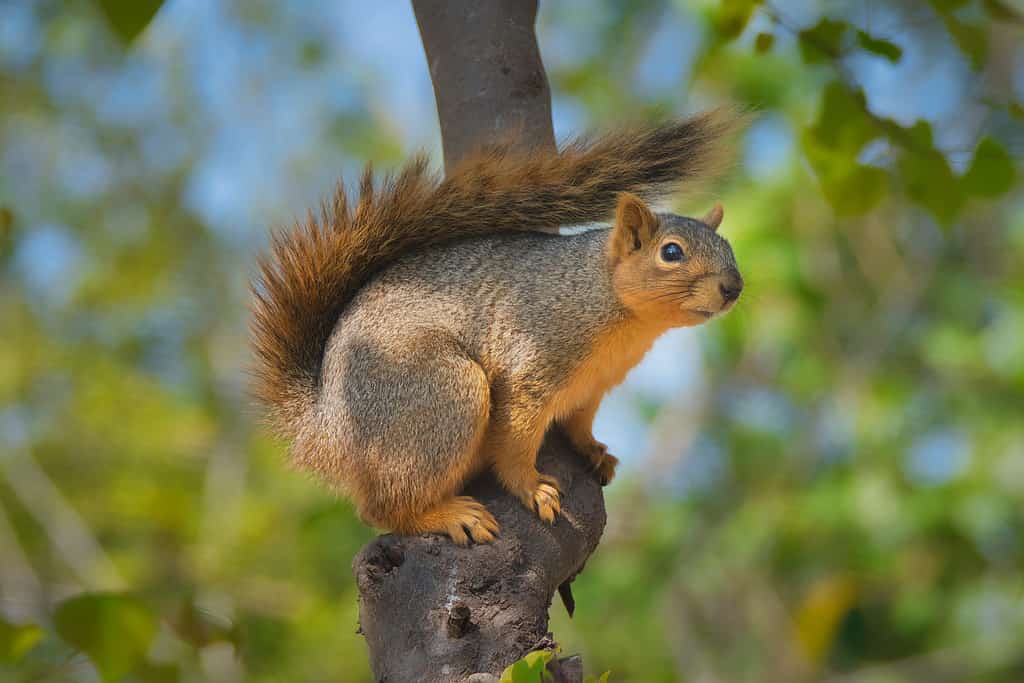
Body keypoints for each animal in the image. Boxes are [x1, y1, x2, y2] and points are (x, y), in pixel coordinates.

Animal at [247, 111, 745, 544]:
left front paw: (593, 450)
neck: (611, 305)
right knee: (382, 510)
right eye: (672, 252)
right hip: (440, 392)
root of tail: (324, 431)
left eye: (729, 247)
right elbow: (515, 440)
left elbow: (580, 421)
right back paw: (448, 516)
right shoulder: (530, 366)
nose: (734, 287)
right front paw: (532, 488)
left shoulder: (594, 385)